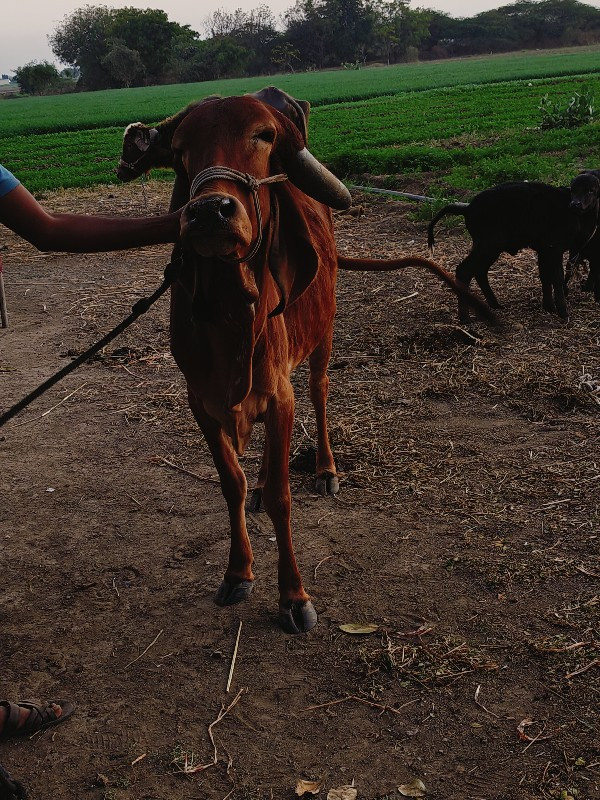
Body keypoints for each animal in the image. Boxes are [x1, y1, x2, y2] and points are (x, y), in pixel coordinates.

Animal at [168, 92, 488, 632]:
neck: (229, 316)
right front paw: (238, 572)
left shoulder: (279, 394)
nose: (211, 210)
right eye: (181, 148)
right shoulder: (202, 404)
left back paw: (324, 468)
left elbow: (283, 498)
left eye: (263, 135)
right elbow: (231, 485)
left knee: (318, 394)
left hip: (322, 339)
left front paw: (293, 597)